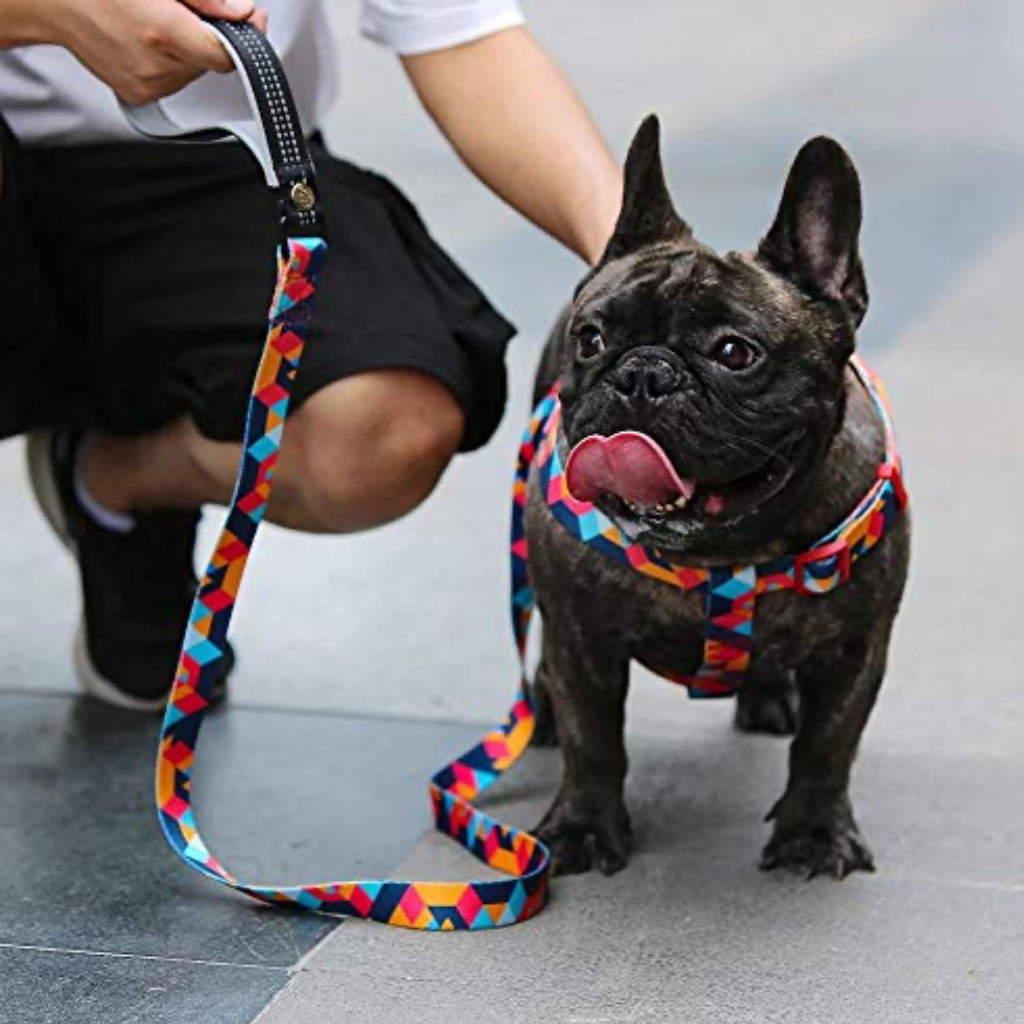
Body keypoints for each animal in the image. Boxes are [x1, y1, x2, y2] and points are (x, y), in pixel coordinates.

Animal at [528, 116, 913, 876]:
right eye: (592, 339)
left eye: (736, 353)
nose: (643, 373)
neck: (726, 555)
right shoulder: (580, 634)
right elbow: (594, 741)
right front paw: (583, 827)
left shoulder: (857, 649)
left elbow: (828, 747)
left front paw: (814, 833)